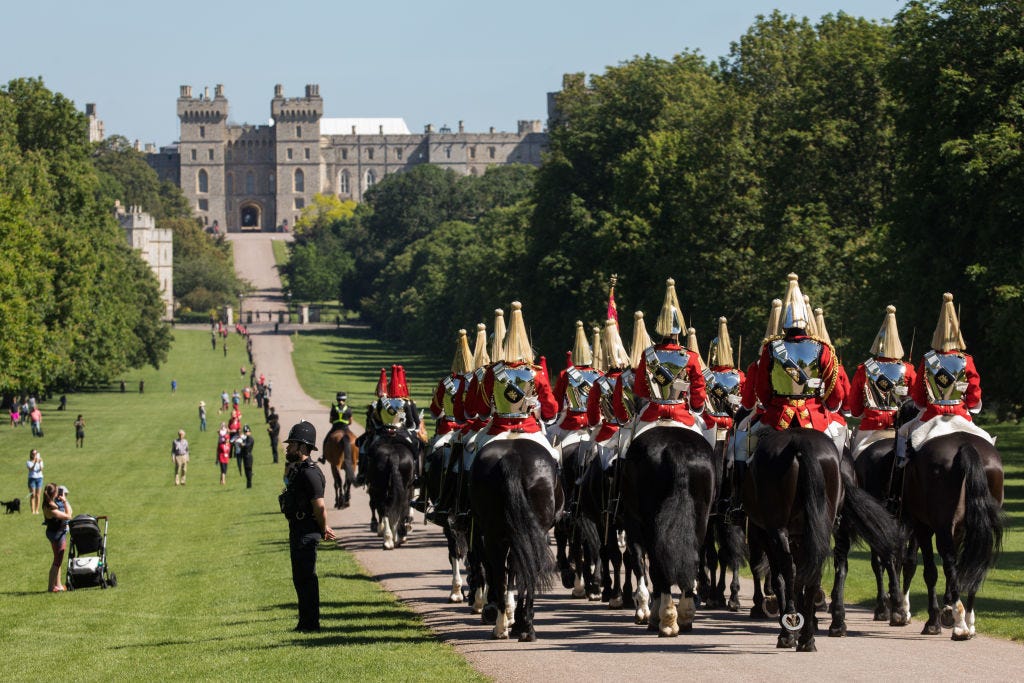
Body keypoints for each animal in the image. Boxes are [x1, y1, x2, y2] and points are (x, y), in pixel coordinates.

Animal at [468, 438, 565, 643]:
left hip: (495, 536)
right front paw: (519, 619)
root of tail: (512, 457)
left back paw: (504, 624)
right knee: (523, 572)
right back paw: (520, 627)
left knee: (501, 573)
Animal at [618, 423, 716, 638]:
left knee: (657, 565)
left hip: (647, 524)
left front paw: (645, 610)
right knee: (693, 559)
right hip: (701, 520)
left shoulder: (633, 523)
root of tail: (676, 447)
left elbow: (639, 564)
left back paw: (666, 619)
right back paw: (685, 615)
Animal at [901, 430, 1003, 638]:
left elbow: (930, 571)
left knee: (947, 561)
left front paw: (934, 620)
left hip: (940, 526)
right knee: (976, 567)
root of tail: (965, 446)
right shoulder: (957, 531)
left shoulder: (923, 526)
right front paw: (947, 610)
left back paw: (960, 624)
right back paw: (968, 621)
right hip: (978, 529)